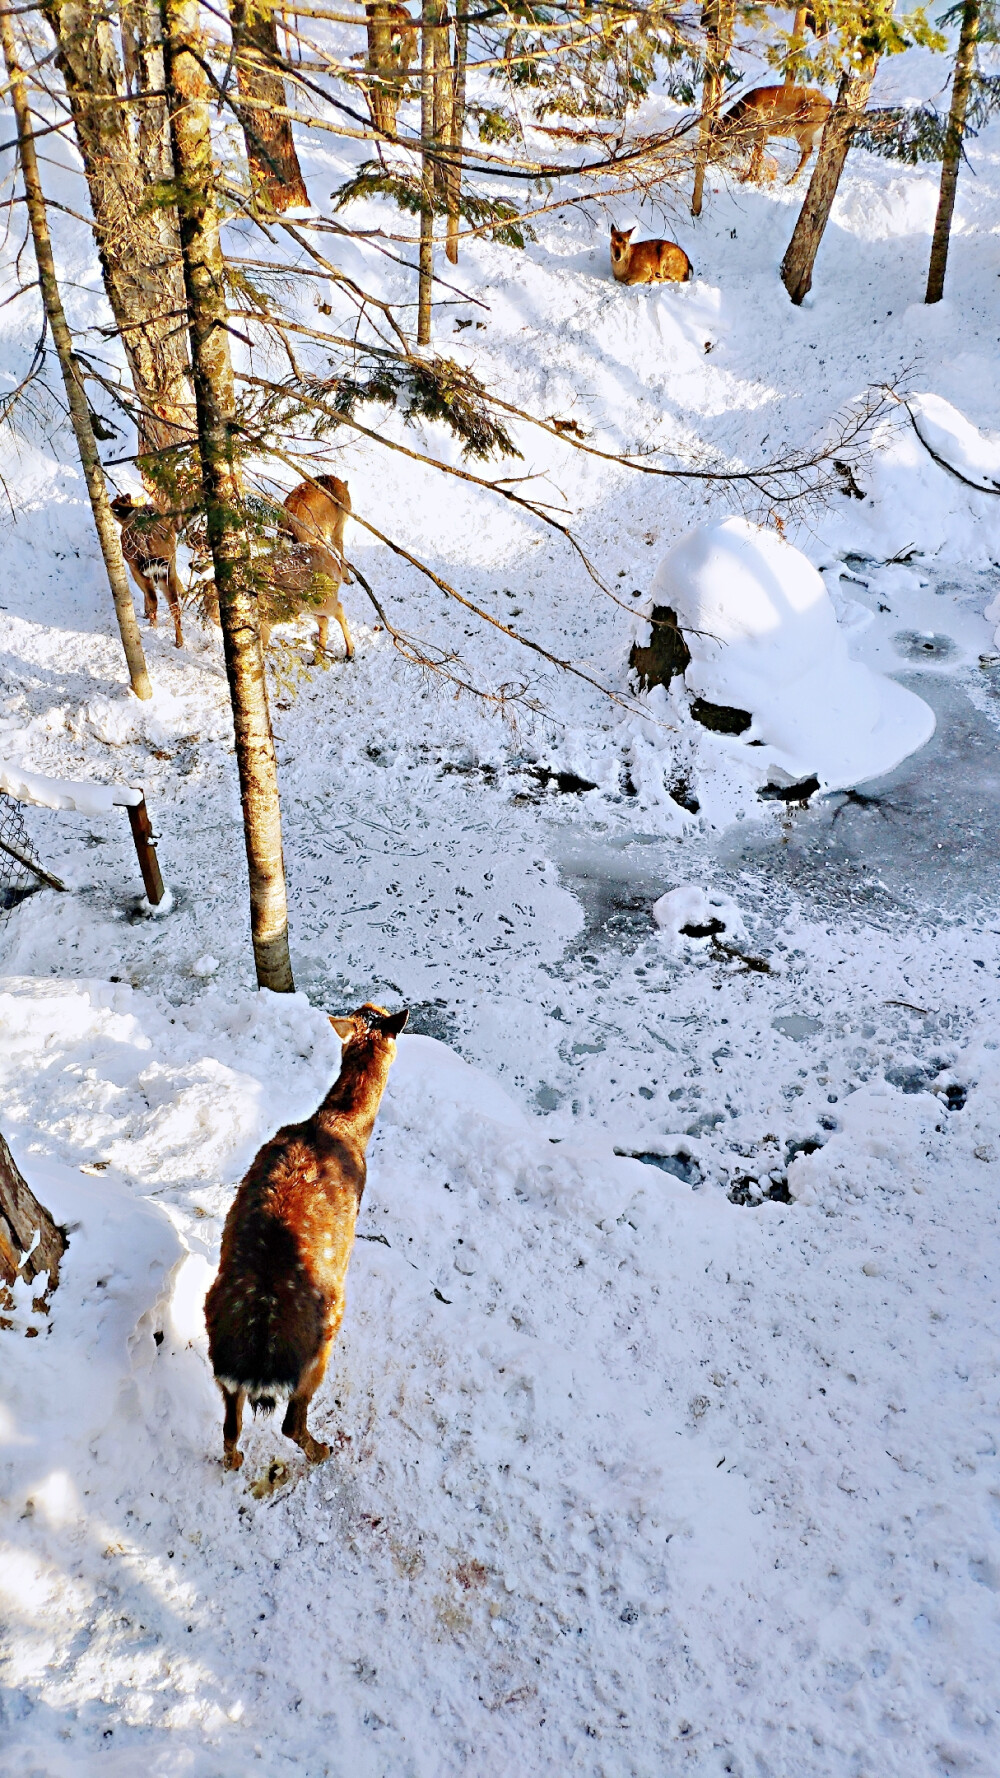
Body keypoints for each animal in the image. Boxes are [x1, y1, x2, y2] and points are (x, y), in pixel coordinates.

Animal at [109, 490, 184, 650]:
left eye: (114, 503)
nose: (110, 505)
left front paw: (145, 613)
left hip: (138, 568)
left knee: (152, 597)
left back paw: (151, 622)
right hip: (167, 570)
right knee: (175, 606)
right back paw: (179, 641)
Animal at [204, 1002, 407, 1472]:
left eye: (372, 1010)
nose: (381, 1007)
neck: (341, 1126)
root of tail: (258, 1355)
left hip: (216, 1347)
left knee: (229, 1426)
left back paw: (235, 1461)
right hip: (322, 1335)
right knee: (290, 1423)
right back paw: (322, 1451)